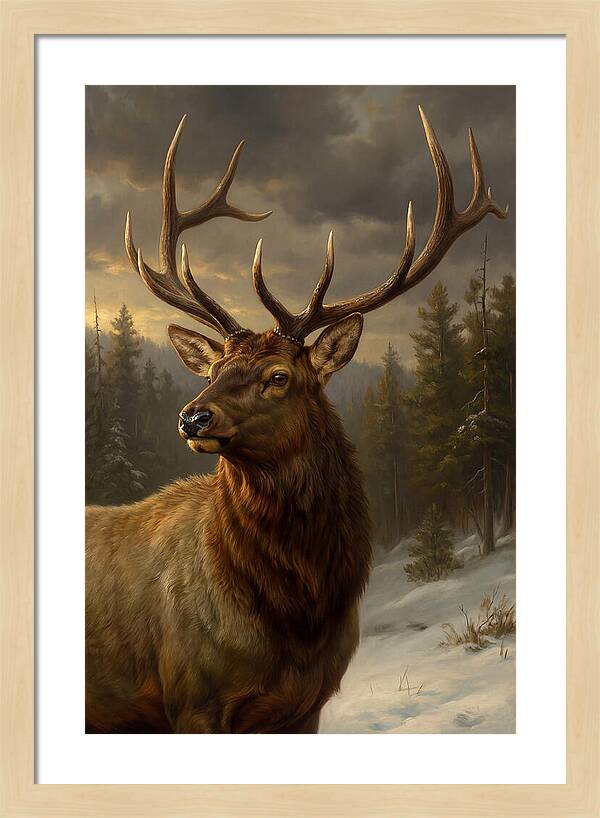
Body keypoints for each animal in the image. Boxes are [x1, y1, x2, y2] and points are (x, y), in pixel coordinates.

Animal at [85, 107, 508, 733]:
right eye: (213, 369)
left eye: (279, 376)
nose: (192, 417)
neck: (297, 618)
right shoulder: (190, 698)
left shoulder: (305, 704)